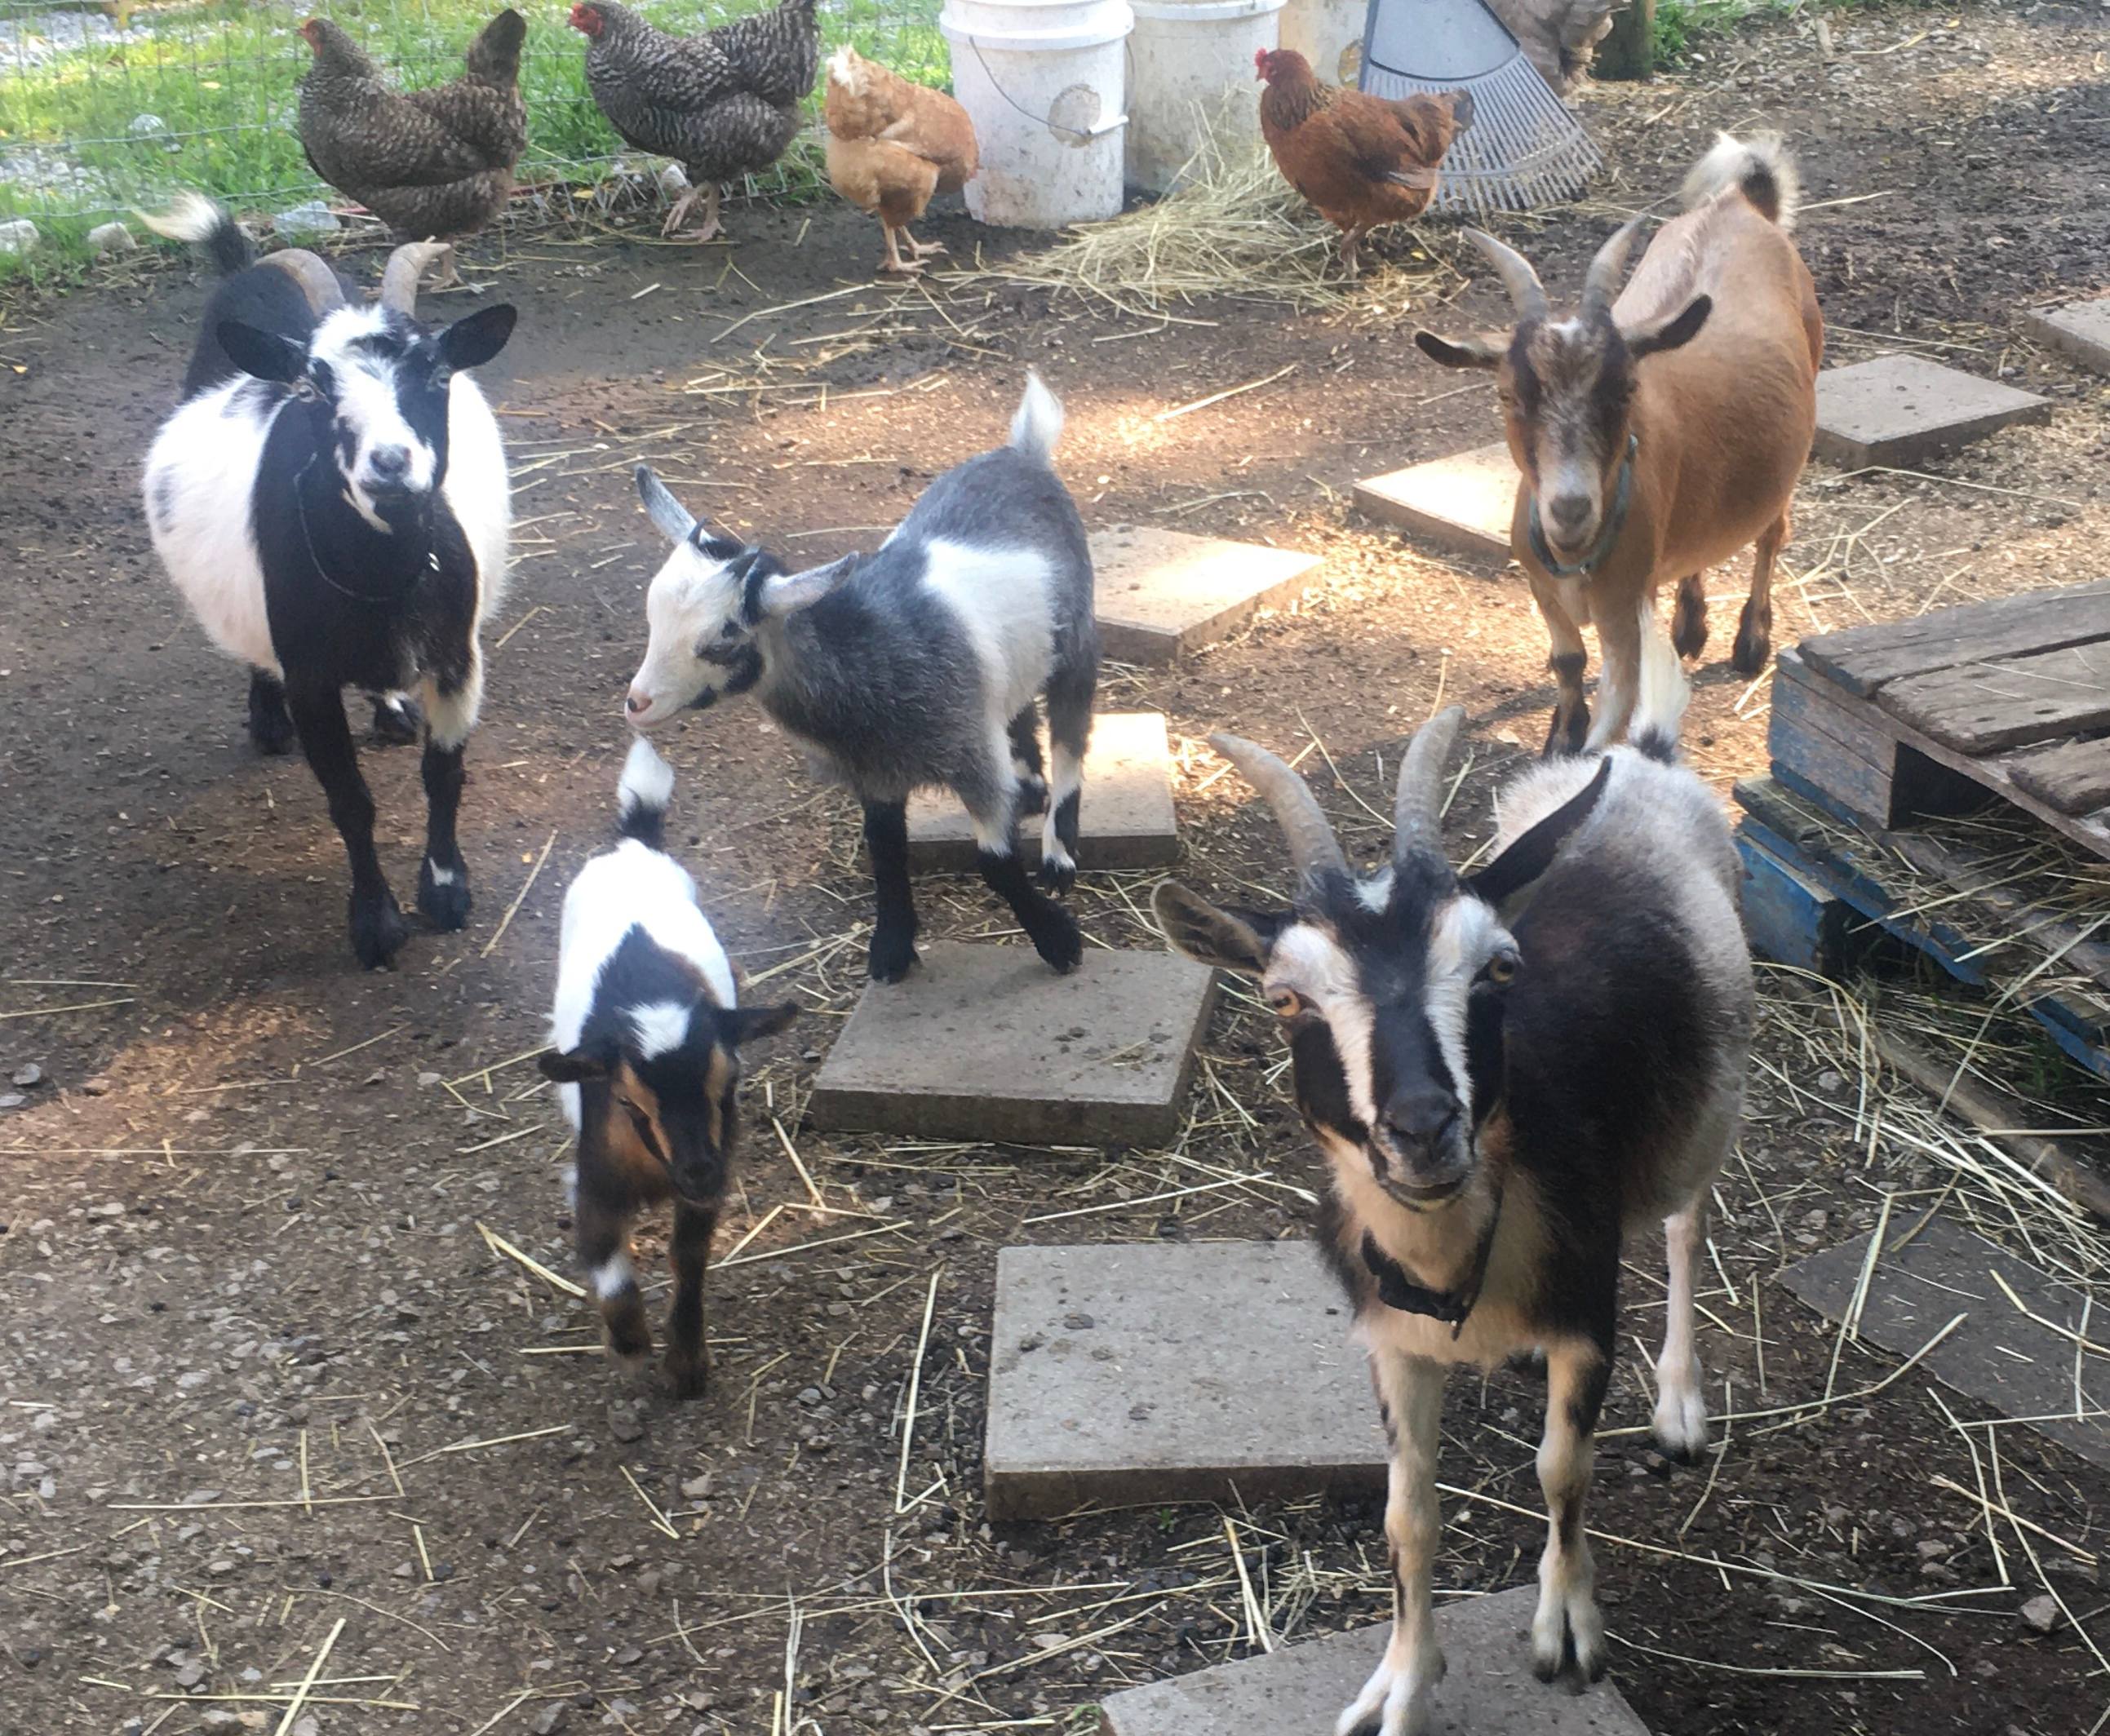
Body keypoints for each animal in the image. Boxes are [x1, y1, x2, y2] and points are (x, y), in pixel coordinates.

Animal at [140, 194, 517, 968]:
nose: (391, 465)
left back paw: (391, 710)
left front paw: (446, 892)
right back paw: (267, 722)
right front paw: (375, 924)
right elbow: (351, 801)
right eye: (312, 389)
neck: (382, 582)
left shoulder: (457, 659)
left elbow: (443, 776)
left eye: (439, 375)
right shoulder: (311, 675)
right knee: (254, 650)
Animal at [540, 738, 799, 1398]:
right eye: (627, 1102)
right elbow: (606, 1262)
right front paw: (631, 1346)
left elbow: (689, 1258)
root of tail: (634, 845)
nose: (699, 1170)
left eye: (730, 1084)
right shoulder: (595, 1178)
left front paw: (686, 1363)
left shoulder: (709, 1181)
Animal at [622, 374, 1098, 982]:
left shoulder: (970, 756)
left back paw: (1060, 851)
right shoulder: (874, 772)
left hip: (1077, 640)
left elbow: (994, 863)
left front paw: (1058, 941)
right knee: (1018, 707)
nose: (637, 703)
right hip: (1015, 659)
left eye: (722, 639)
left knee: (1071, 732)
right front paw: (891, 949)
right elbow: (886, 851)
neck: (867, 654)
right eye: (651, 616)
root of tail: (1024, 453)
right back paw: (1031, 787)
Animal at [1152, 615, 1752, 1736]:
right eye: (1287, 998)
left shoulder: (1584, 1303)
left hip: (1710, 1106)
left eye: (1497, 969)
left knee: (1687, 1223)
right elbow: (1409, 1512)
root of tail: (1643, 758)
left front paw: (1567, 1628)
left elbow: (1562, 1463)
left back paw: (1681, 1403)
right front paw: (1401, 1679)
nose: (1423, 1130)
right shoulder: (1395, 1345)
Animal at [1416, 133, 1823, 756]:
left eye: (1627, 389)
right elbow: (1566, 660)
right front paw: (1562, 731)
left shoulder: (1625, 613)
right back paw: (1690, 626)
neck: (1575, 557)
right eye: (1508, 395)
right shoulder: (1541, 587)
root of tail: (1739, 202)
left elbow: (1618, 707)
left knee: (1772, 534)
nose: (1570, 508)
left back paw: (1750, 642)